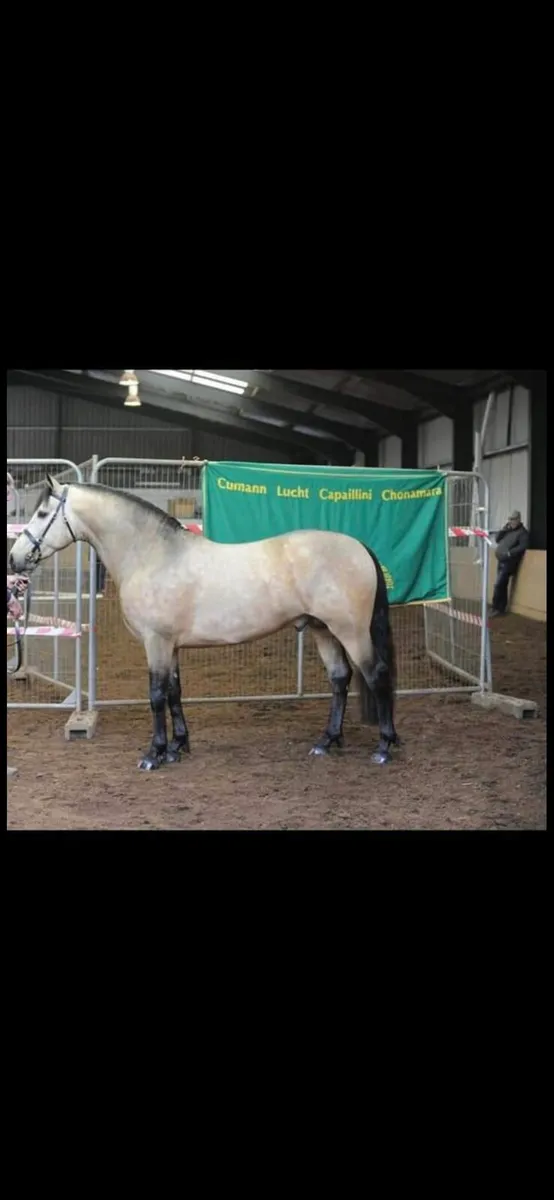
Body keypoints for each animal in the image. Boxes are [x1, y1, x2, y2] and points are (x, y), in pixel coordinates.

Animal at [9, 474, 399, 770]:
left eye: (42, 512)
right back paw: (326, 741)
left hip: (350, 632)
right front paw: (178, 747)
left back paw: (384, 747)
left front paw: (154, 754)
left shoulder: (156, 642)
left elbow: (155, 695)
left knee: (376, 674)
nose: (14, 558)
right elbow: (174, 692)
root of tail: (359, 547)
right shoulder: (171, 645)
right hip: (322, 630)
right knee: (340, 678)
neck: (152, 555)